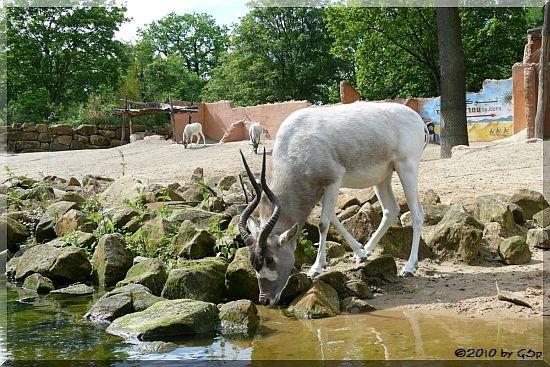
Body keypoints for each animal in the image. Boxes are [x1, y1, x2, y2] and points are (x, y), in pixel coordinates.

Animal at [238, 102, 432, 306]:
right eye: (252, 261)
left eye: (270, 259)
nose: (265, 300)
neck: (295, 141)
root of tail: (417, 119)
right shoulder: (319, 190)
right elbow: (332, 218)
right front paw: (360, 252)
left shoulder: (333, 181)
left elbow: (323, 223)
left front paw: (316, 267)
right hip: (383, 176)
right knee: (390, 209)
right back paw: (367, 250)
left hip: (406, 168)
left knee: (417, 214)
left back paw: (409, 267)